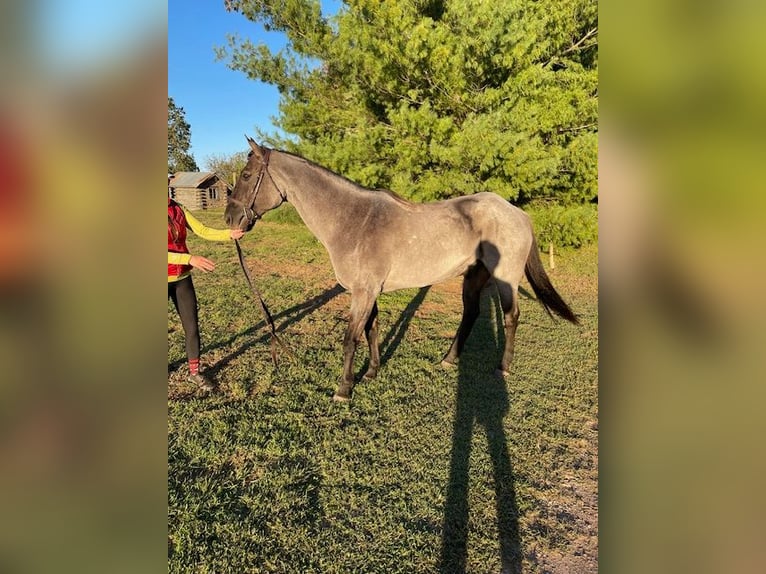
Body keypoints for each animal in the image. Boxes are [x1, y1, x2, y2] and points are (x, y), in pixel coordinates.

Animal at [225, 137, 578, 401]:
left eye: (246, 176)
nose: (230, 219)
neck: (354, 220)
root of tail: (517, 213)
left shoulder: (363, 292)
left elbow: (351, 337)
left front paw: (344, 389)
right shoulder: (369, 291)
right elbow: (371, 330)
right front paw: (371, 372)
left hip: (505, 279)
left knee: (510, 317)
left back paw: (502, 367)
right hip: (473, 276)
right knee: (471, 314)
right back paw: (448, 360)